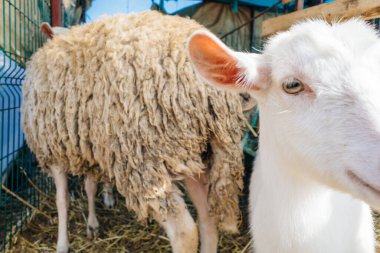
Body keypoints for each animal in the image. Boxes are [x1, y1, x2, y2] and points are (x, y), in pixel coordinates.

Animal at [21, 10, 246, 252]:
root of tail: (205, 88)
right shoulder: (89, 148)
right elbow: (89, 187)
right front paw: (92, 225)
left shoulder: (52, 149)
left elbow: (62, 200)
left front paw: (62, 243)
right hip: (201, 153)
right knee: (208, 219)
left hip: (146, 159)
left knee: (184, 232)